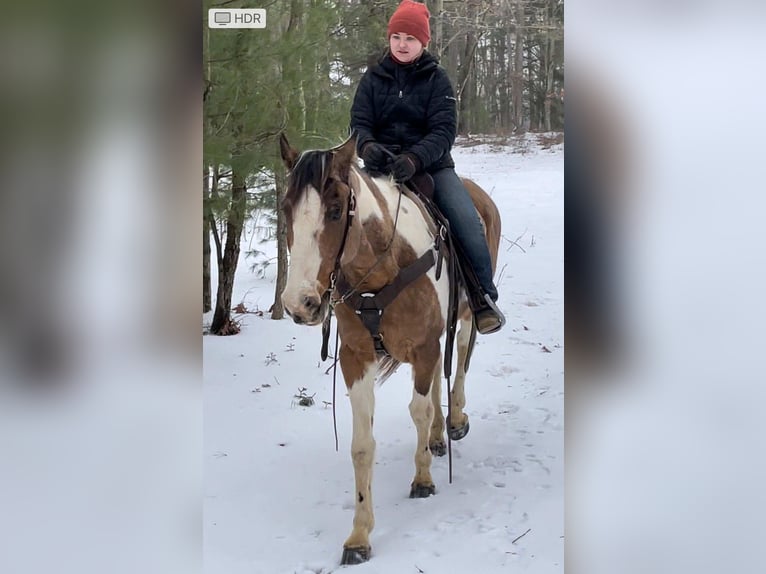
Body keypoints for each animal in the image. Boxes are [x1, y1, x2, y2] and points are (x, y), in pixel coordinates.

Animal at [280, 134, 500, 568]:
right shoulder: (357, 357)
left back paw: (455, 420)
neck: (384, 264)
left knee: (460, 358)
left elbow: (419, 409)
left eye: (335, 211)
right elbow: (362, 445)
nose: (300, 304)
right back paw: (437, 438)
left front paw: (423, 478)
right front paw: (359, 535)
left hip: (466, 315)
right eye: (285, 209)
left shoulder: (424, 344)